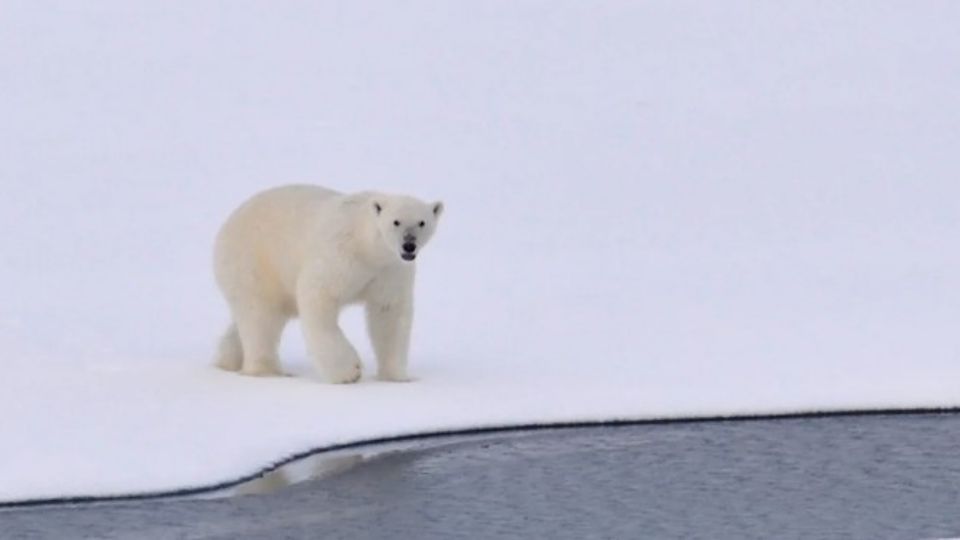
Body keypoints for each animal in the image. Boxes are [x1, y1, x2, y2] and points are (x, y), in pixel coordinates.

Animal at [214, 186, 442, 384]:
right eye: (396, 222)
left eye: (422, 222)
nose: (409, 245)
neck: (366, 246)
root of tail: (226, 225)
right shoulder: (339, 255)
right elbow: (318, 297)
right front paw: (349, 372)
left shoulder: (390, 270)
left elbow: (389, 313)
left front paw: (397, 376)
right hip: (254, 262)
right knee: (259, 315)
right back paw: (267, 371)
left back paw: (227, 360)